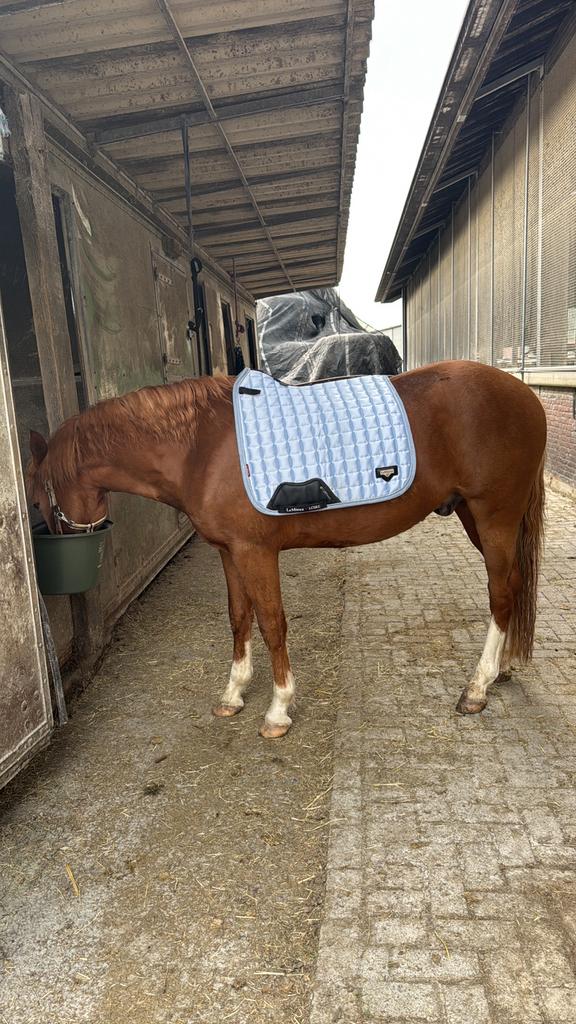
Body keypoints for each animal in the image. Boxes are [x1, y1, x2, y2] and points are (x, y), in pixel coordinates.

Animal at [27, 360, 546, 738]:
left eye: (36, 497)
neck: (197, 447)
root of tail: (526, 396)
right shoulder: (228, 551)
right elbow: (239, 617)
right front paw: (233, 694)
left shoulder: (256, 552)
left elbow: (272, 624)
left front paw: (278, 709)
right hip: (474, 516)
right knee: (514, 586)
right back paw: (500, 670)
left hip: (494, 515)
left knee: (501, 592)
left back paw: (477, 687)